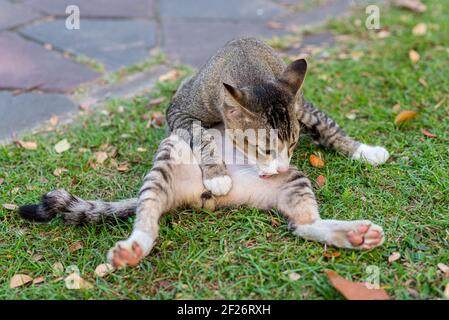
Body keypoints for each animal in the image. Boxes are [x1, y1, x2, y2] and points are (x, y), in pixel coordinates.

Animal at [19, 122, 384, 268]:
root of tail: (206, 191)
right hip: (171, 153)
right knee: (148, 212)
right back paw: (135, 248)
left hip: (288, 179)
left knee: (302, 225)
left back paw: (354, 235)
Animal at [166, 37, 386, 198]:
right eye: (266, 150)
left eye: (293, 144)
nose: (282, 170)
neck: (250, 70)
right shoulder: (178, 109)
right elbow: (201, 136)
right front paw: (217, 175)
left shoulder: (300, 106)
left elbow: (325, 124)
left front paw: (363, 150)